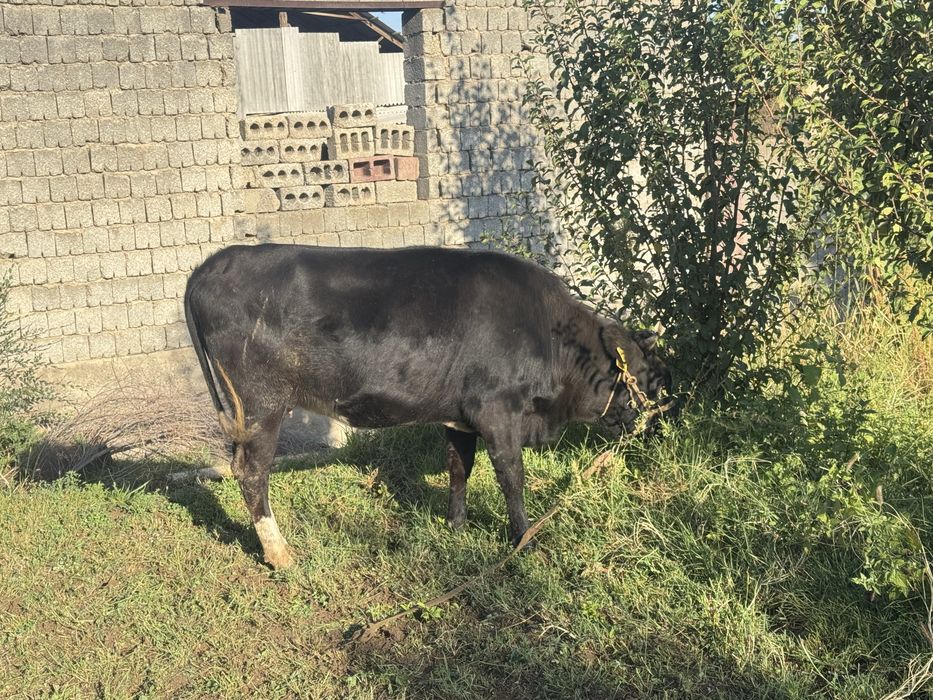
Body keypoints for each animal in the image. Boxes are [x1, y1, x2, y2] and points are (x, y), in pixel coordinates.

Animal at [184, 244, 673, 569]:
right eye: (645, 372)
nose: (660, 420)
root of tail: (210, 265)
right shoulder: (497, 409)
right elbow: (511, 476)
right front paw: (523, 538)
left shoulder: (460, 416)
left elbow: (459, 468)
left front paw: (456, 526)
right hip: (261, 403)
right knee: (251, 471)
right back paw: (280, 553)